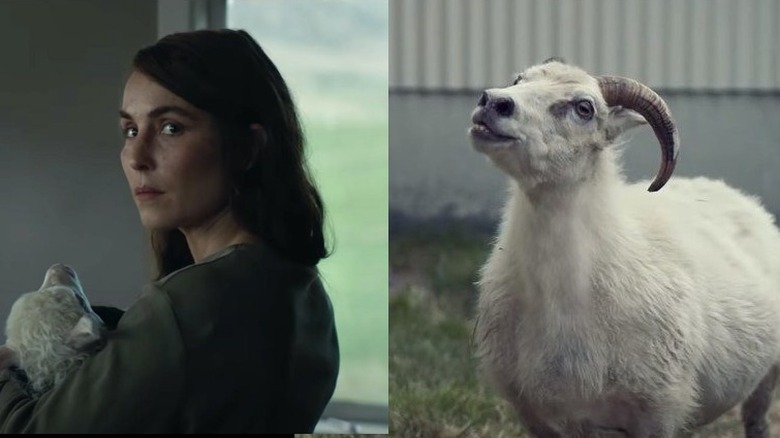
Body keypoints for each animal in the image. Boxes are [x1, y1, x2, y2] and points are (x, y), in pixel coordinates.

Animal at [466, 56, 780, 436]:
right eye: (518, 80)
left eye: (584, 108)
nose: (493, 102)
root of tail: (727, 188)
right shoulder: (534, 414)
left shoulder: (658, 413)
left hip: (768, 374)